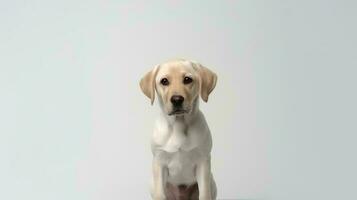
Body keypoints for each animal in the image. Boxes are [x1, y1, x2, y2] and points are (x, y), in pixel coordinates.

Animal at [139, 58, 217, 199]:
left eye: (187, 79)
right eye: (164, 81)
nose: (176, 99)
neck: (178, 124)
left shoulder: (203, 163)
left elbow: (204, 194)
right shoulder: (159, 163)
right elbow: (160, 195)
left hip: (212, 182)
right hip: (153, 183)